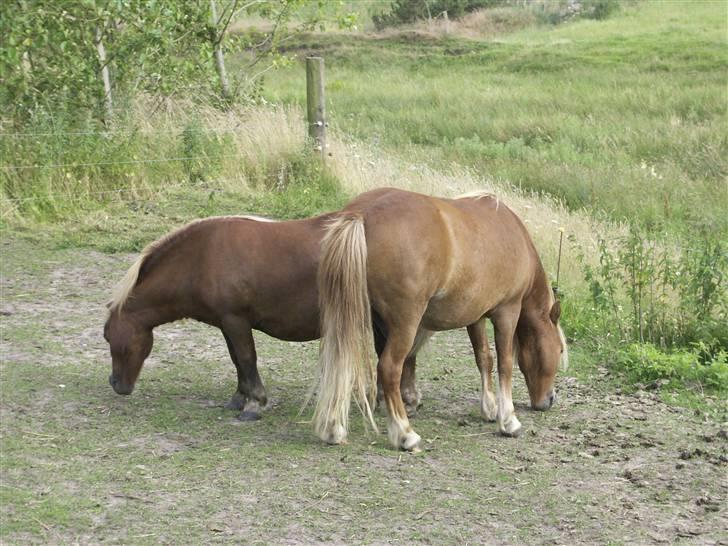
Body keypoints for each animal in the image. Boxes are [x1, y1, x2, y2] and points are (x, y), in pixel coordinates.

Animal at [102, 211, 420, 416]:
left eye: (107, 337)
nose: (115, 384)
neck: (201, 257)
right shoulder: (227, 324)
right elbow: (237, 361)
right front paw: (239, 398)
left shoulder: (236, 321)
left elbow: (246, 358)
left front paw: (255, 403)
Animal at [312, 187, 568, 446]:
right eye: (559, 350)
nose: (550, 399)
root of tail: (362, 214)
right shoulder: (507, 312)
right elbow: (505, 363)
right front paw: (508, 420)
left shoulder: (475, 316)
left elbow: (484, 358)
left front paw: (489, 408)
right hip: (405, 323)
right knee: (389, 368)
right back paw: (405, 434)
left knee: (342, 363)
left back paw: (334, 428)